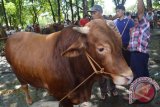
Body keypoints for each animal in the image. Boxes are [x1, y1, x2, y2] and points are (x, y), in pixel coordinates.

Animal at [4, 18, 132, 106]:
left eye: (119, 43)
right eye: (101, 48)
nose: (129, 76)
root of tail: (11, 37)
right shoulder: (63, 98)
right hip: (16, 72)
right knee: (24, 86)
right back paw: (29, 100)